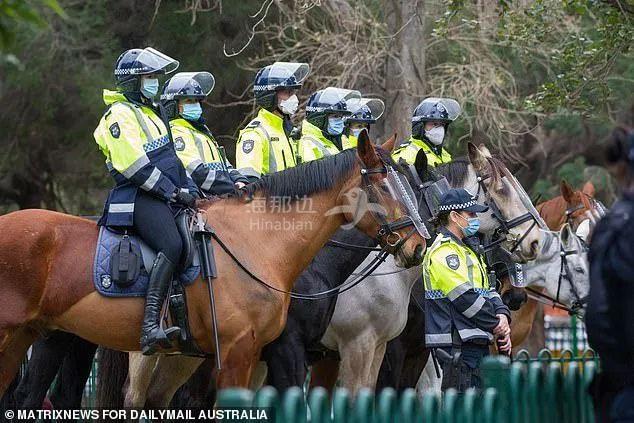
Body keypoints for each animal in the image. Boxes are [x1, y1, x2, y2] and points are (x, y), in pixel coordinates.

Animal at [0, 133, 428, 398]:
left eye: (411, 189)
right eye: (384, 186)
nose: (418, 245)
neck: (257, 243)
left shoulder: (260, 355)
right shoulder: (255, 354)